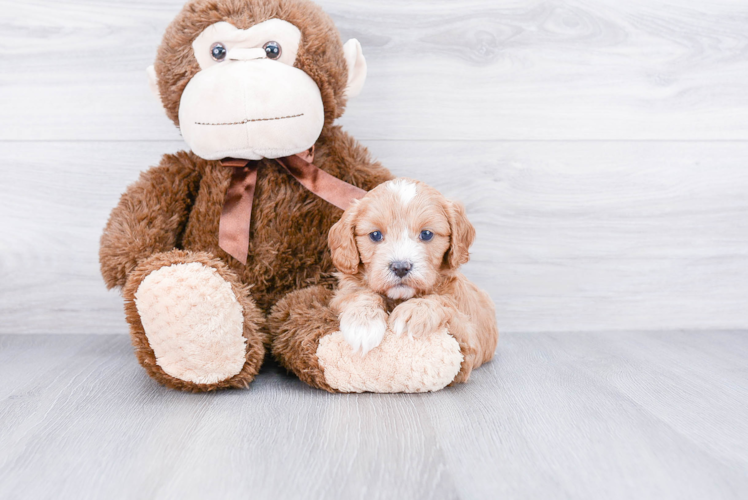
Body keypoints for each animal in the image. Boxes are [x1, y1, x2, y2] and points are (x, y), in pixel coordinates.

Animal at [328, 178, 496, 380]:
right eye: (375, 235)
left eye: (426, 234)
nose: (400, 267)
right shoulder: (342, 293)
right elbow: (360, 295)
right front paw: (363, 325)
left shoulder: (468, 340)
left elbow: (442, 302)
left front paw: (413, 313)